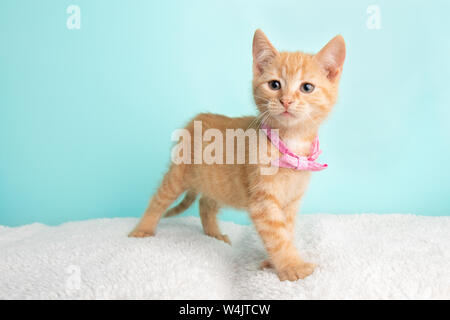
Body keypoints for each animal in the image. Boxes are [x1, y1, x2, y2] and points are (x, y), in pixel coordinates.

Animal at [128, 29, 346, 280]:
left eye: (307, 87)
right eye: (274, 84)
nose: (286, 101)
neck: (291, 142)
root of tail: (197, 119)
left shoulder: (291, 202)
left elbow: (287, 231)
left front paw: (274, 263)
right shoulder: (263, 201)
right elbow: (277, 237)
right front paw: (292, 266)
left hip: (216, 182)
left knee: (205, 203)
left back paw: (213, 234)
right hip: (179, 174)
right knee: (159, 198)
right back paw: (142, 230)